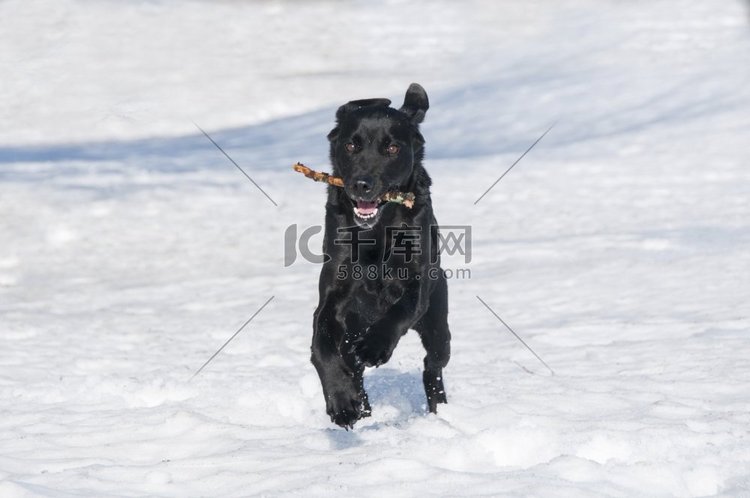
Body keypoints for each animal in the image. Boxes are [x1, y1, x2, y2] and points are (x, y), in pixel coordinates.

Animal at [312, 83, 452, 430]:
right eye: (351, 145)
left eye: (391, 148)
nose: (361, 184)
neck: (377, 232)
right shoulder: (332, 298)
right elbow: (322, 348)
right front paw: (342, 403)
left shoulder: (417, 283)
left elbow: (399, 310)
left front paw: (374, 347)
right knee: (353, 368)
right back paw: (359, 403)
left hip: (438, 325)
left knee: (433, 366)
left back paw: (440, 412)